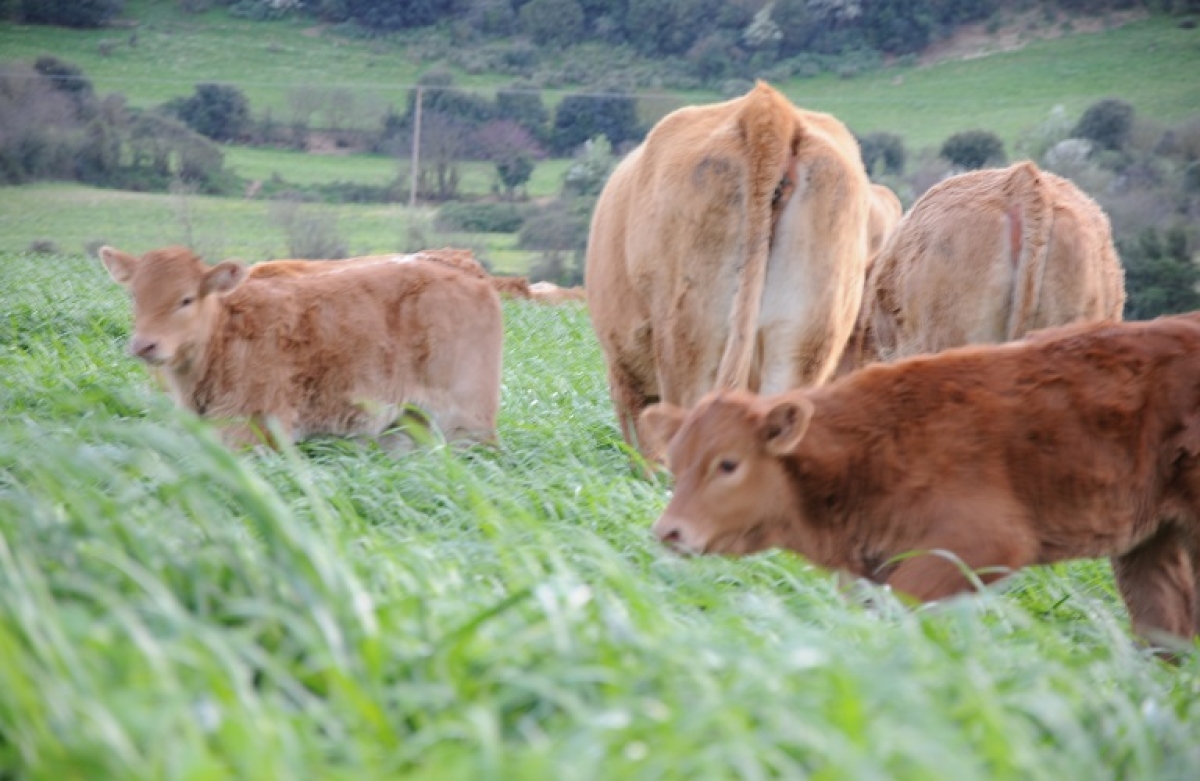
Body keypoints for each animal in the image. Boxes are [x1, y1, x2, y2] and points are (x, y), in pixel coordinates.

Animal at [97, 244, 501, 451]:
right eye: (135, 296)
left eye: (185, 299)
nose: (145, 344)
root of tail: (466, 269)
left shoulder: (252, 428)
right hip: (405, 421)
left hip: (467, 420)